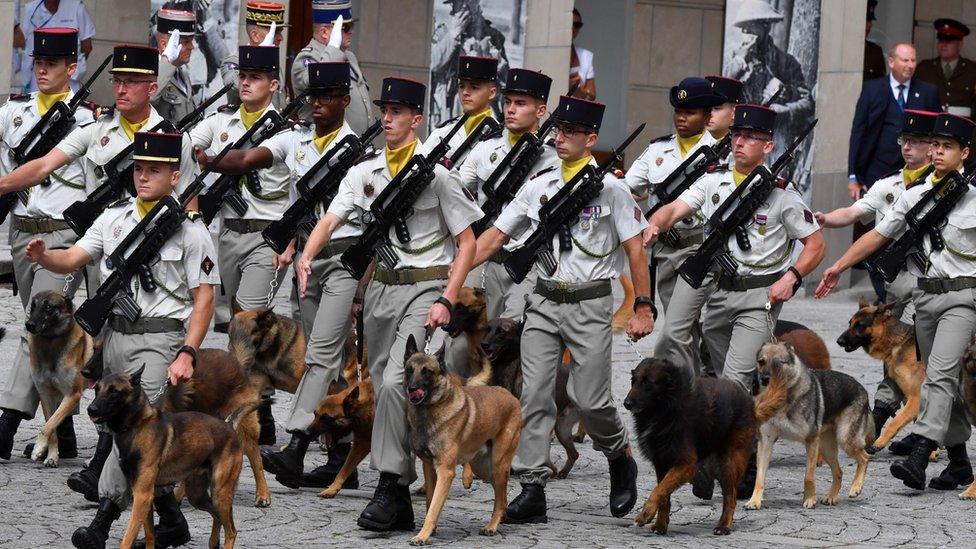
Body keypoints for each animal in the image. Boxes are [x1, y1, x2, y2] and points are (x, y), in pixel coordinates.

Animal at [24, 288, 92, 464]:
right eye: (33, 306)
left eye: (48, 307)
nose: (29, 325)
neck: (50, 341)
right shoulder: (46, 395)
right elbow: (52, 426)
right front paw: (51, 456)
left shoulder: (72, 395)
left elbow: (50, 424)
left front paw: (38, 447)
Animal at [90, 366, 248, 549]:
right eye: (96, 389)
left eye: (114, 391)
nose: (90, 409)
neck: (136, 425)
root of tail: (229, 425)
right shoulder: (144, 498)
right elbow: (150, 536)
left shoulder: (142, 496)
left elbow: (127, 539)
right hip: (197, 495)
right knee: (217, 516)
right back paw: (213, 542)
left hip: (220, 493)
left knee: (231, 531)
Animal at [404, 334, 528, 544]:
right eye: (409, 370)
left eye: (427, 372)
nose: (412, 389)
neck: (430, 411)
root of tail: (508, 394)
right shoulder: (429, 467)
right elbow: (430, 501)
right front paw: (430, 530)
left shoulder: (445, 472)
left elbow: (434, 507)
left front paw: (422, 535)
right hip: (484, 468)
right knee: (501, 498)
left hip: (498, 464)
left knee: (501, 499)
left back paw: (492, 526)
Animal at [624, 358, 756, 532]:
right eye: (633, 381)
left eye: (648, 383)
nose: (626, 403)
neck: (666, 408)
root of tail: (747, 397)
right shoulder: (662, 462)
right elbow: (664, 494)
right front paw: (660, 525)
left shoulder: (685, 464)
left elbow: (660, 490)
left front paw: (645, 514)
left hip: (729, 462)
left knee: (731, 496)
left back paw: (723, 526)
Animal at [836, 298, 928, 452]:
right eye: (850, 323)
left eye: (860, 325)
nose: (839, 341)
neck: (898, 343)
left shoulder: (916, 398)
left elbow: (895, 422)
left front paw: (880, 442)